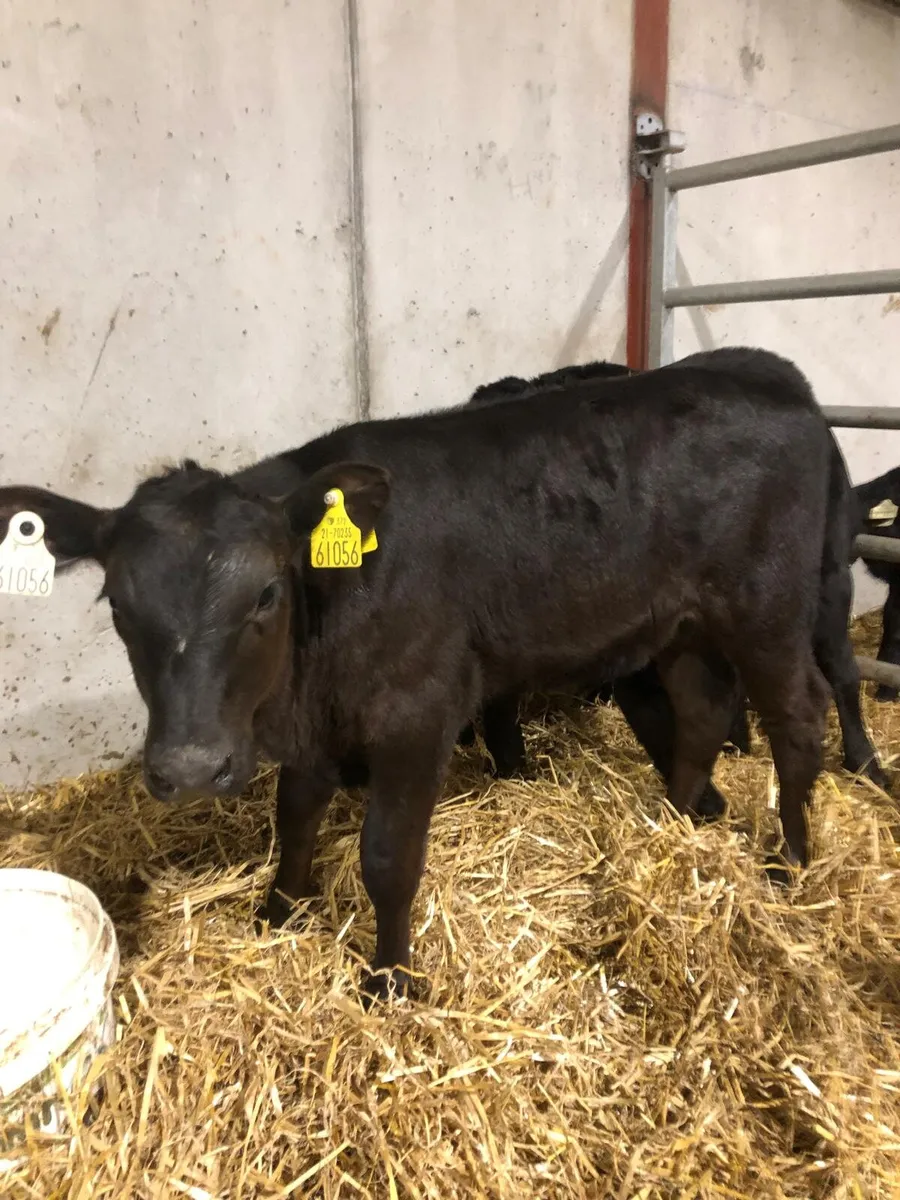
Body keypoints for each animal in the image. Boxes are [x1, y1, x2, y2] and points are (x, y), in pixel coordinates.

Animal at [0, 347, 838, 1002]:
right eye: (118, 602)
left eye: (265, 594)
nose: (193, 769)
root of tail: (772, 380)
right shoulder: (319, 725)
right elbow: (294, 814)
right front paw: (278, 911)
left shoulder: (416, 712)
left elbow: (388, 857)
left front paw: (390, 978)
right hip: (684, 624)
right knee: (701, 709)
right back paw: (673, 824)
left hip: (766, 607)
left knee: (799, 716)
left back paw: (790, 863)